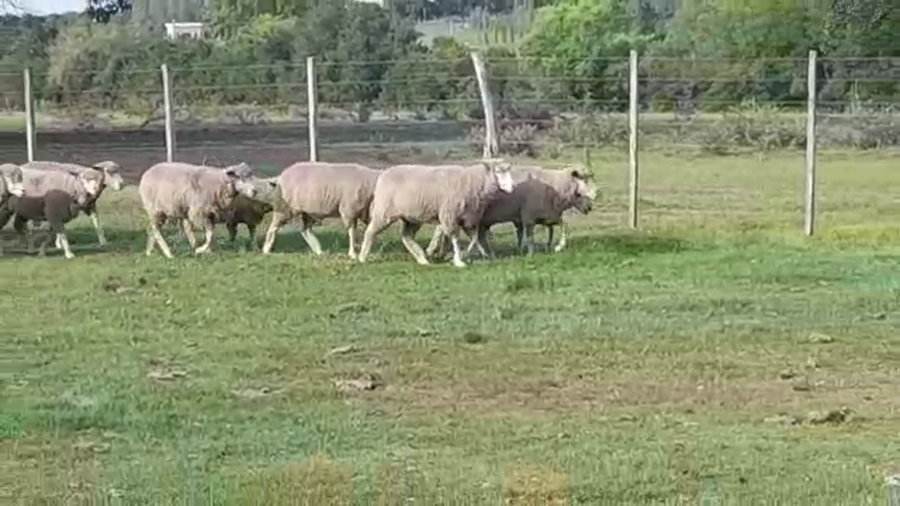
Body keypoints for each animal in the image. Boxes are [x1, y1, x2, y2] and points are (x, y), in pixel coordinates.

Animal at [357, 159, 515, 268]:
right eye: (498, 171)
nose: (512, 187)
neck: (472, 182)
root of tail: (383, 174)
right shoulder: (449, 215)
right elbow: (455, 238)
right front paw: (459, 260)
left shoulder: (468, 218)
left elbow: (475, 238)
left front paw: (466, 254)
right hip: (384, 212)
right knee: (370, 232)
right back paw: (362, 257)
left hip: (412, 217)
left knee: (406, 237)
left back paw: (422, 258)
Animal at [425, 164, 596, 258]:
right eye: (580, 192)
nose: (590, 208)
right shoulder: (530, 215)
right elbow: (532, 236)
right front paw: (535, 252)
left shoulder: (544, 215)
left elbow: (558, 228)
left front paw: (550, 246)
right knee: (443, 229)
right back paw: (433, 250)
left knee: (474, 235)